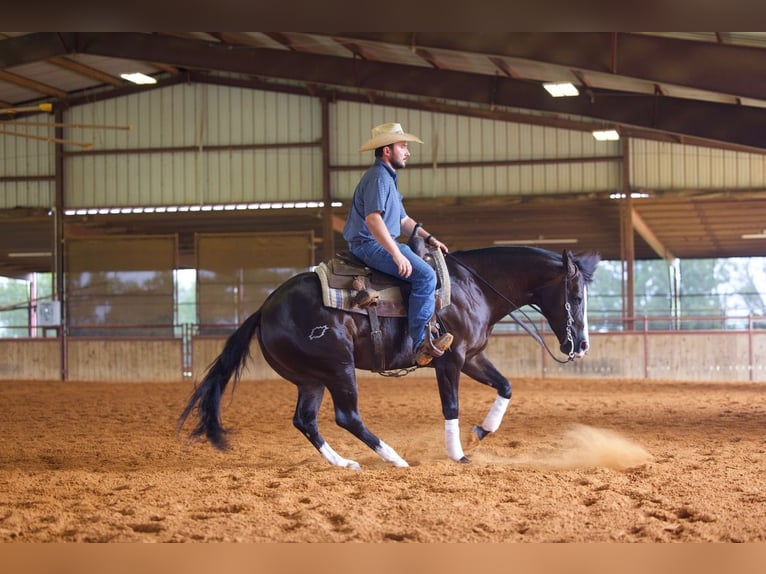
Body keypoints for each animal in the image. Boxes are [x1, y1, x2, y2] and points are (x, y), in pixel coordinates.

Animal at [178, 246, 600, 468]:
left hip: (311, 379)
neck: (472, 288)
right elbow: (451, 406)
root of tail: (265, 308)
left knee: (305, 420)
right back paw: (394, 458)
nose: (580, 346)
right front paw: (458, 453)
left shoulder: (471, 357)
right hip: (338, 369)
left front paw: (483, 430)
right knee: (346, 416)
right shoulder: (450, 360)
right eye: (576, 297)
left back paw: (343, 463)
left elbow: (506, 386)